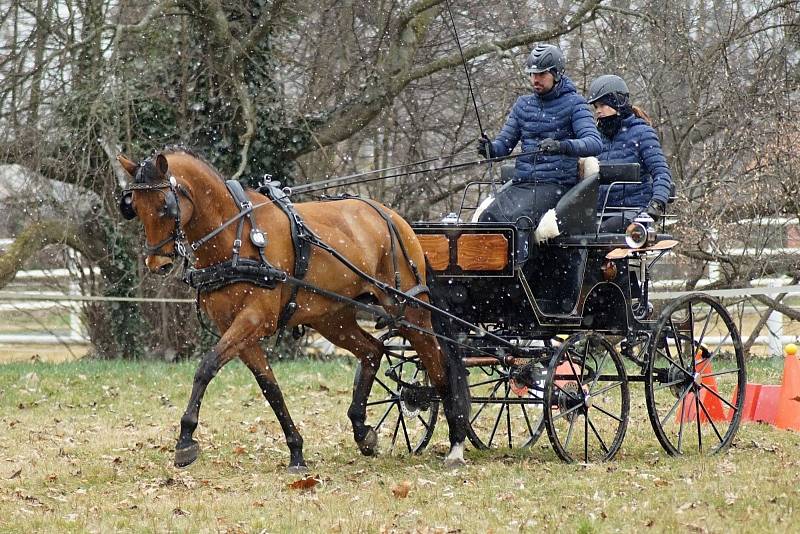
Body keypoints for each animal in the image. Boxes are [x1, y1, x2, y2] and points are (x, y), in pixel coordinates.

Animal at [116, 147, 472, 474]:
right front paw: (296, 451)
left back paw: (456, 442)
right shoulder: (237, 329)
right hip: (333, 318)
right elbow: (270, 387)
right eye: (134, 207)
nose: (157, 263)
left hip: (409, 309)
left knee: (438, 364)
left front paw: (185, 440)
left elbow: (206, 367)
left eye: (164, 207)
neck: (236, 237)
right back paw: (362, 431)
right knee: (373, 350)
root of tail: (394, 218)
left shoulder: (254, 320)